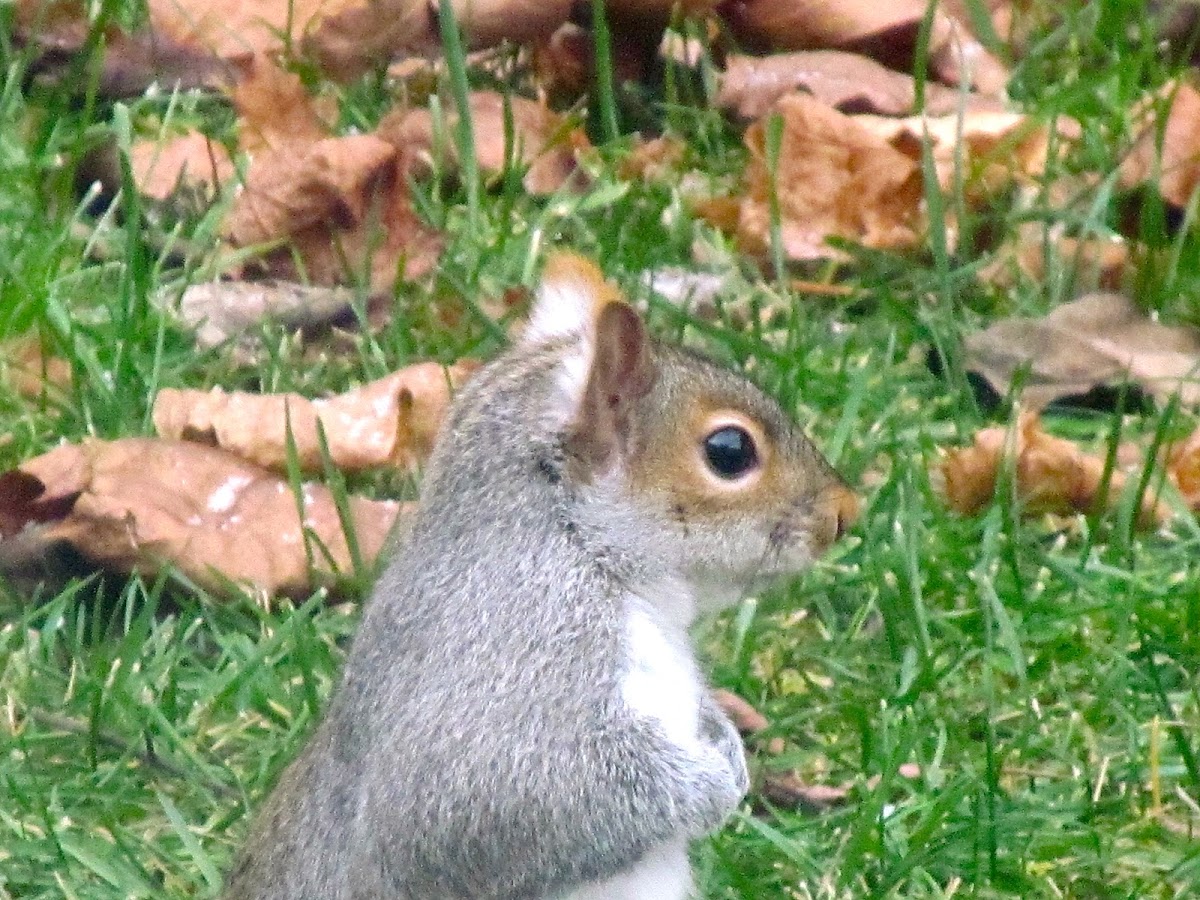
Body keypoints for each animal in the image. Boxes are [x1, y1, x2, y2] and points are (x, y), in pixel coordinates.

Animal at [223, 254, 864, 900]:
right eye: (729, 451)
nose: (845, 513)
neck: (589, 553)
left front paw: (729, 745)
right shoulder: (524, 652)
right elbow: (495, 807)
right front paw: (714, 783)